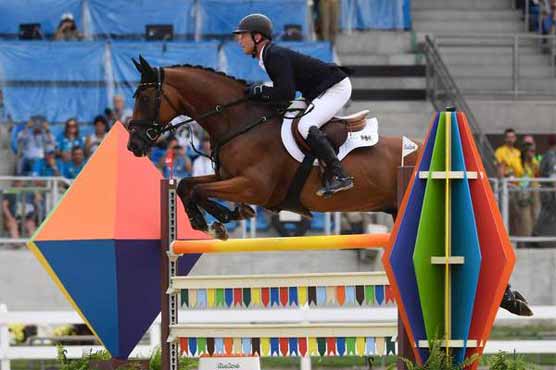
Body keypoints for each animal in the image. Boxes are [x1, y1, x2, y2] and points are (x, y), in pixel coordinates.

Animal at [126, 55, 422, 240]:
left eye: (144, 97)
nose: (133, 144)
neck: (240, 121)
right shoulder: (226, 176)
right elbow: (187, 185)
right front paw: (214, 220)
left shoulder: (254, 186)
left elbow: (199, 189)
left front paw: (224, 217)